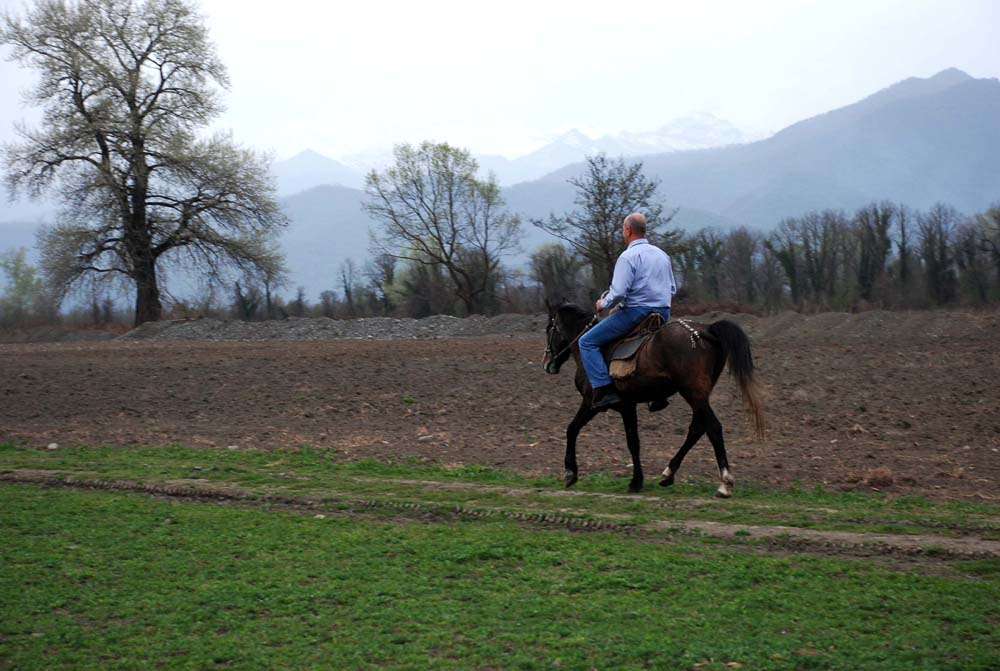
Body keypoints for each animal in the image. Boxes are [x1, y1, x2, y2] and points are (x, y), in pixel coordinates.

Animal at [544, 304, 760, 498]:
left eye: (548, 329)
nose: (547, 364)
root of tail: (705, 330)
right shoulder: (628, 406)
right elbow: (634, 441)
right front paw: (637, 481)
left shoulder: (592, 403)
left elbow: (572, 429)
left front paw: (570, 473)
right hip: (699, 395)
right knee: (698, 428)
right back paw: (668, 474)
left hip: (694, 394)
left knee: (713, 427)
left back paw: (725, 483)